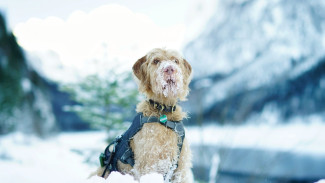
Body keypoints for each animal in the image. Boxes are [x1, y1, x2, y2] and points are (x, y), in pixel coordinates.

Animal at [93, 48, 192, 183]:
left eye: (175, 61)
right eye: (156, 61)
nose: (170, 68)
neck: (163, 112)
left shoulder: (180, 168)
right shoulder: (149, 164)